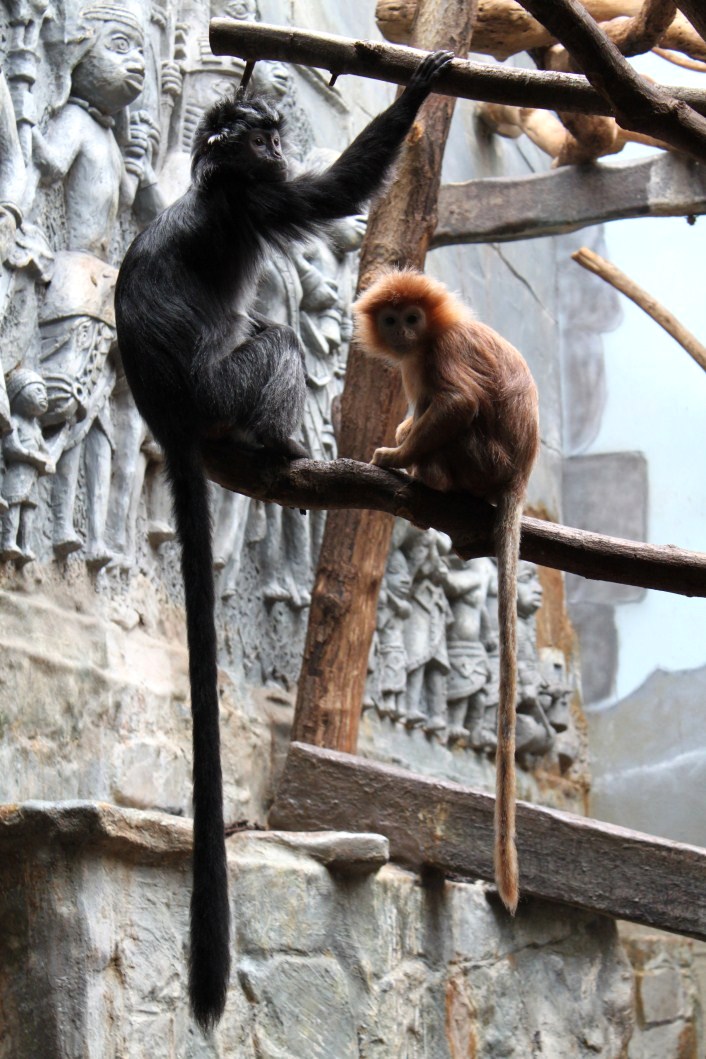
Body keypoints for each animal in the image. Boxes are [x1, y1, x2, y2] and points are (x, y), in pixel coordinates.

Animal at [113, 52, 453, 1030]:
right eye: (257, 131)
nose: (269, 135)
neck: (212, 179)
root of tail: (166, 414)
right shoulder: (254, 199)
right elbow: (330, 195)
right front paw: (421, 93)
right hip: (225, 386)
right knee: (273, 348)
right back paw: (283, 448)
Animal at [352, 268, 540, 916]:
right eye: (393, 319)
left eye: (414, 318)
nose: (404, 332)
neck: (425, 341)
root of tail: (519, 475)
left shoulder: (441, 351)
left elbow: (458, 402)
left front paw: (395, 454)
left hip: (481, 460)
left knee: (454, 415)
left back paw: (426, 475)